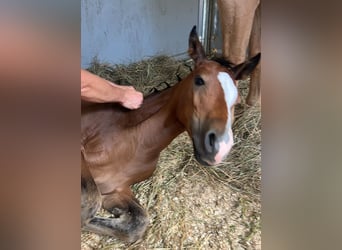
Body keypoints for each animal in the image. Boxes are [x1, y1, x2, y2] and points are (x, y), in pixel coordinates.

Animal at [81, 26, 260, 243]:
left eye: (237, 98)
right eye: (199, 80)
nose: (220, 147)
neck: (136, 140)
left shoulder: (116, 188)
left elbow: (136, 223)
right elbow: (90, 203)